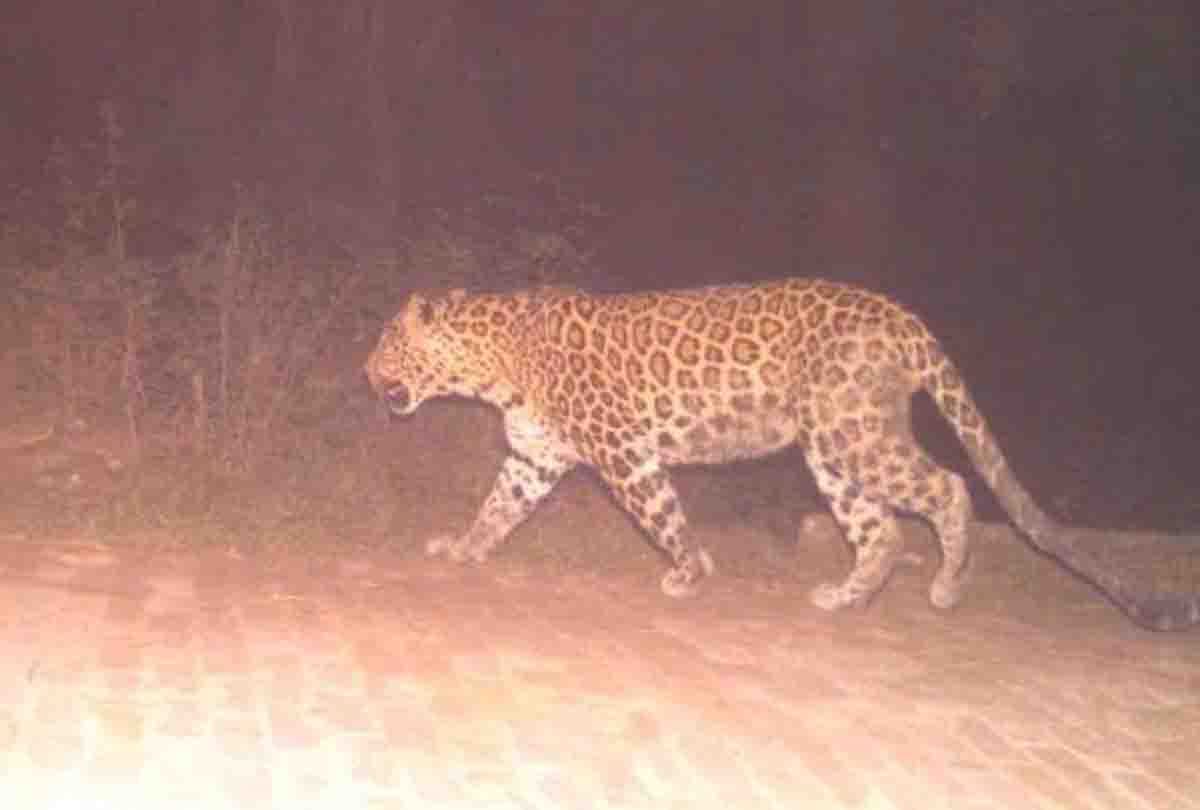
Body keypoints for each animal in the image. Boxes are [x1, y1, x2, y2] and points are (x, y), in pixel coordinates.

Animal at [365, 277, 1200, 631]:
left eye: (387, 344)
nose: (365, 373)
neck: (492, 364)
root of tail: (902, 317)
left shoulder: (624, 451)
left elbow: (662, 514)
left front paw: (689, 572)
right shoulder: (534, 460)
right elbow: (495, 508)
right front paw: (463, 548)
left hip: (854, 433)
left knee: (948, 487)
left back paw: (946, 586)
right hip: (832, 449)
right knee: (882, 531)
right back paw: (847, 597)